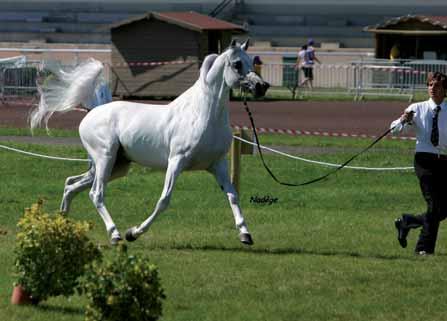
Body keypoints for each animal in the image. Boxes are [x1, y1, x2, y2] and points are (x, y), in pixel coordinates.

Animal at [32, 40, 270, 245]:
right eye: (237, 64)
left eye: (251, 62)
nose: (262, 86)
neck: (202, 114)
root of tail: (92, 111)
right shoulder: (176, 162)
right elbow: (164, 200)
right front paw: (133, 233)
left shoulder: (217, 165)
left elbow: (233, 196)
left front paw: (245, 234)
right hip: (105, 158)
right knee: (95, 193)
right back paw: (115, 234)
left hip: (116, 166)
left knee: (71, 184)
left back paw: (62, 222)